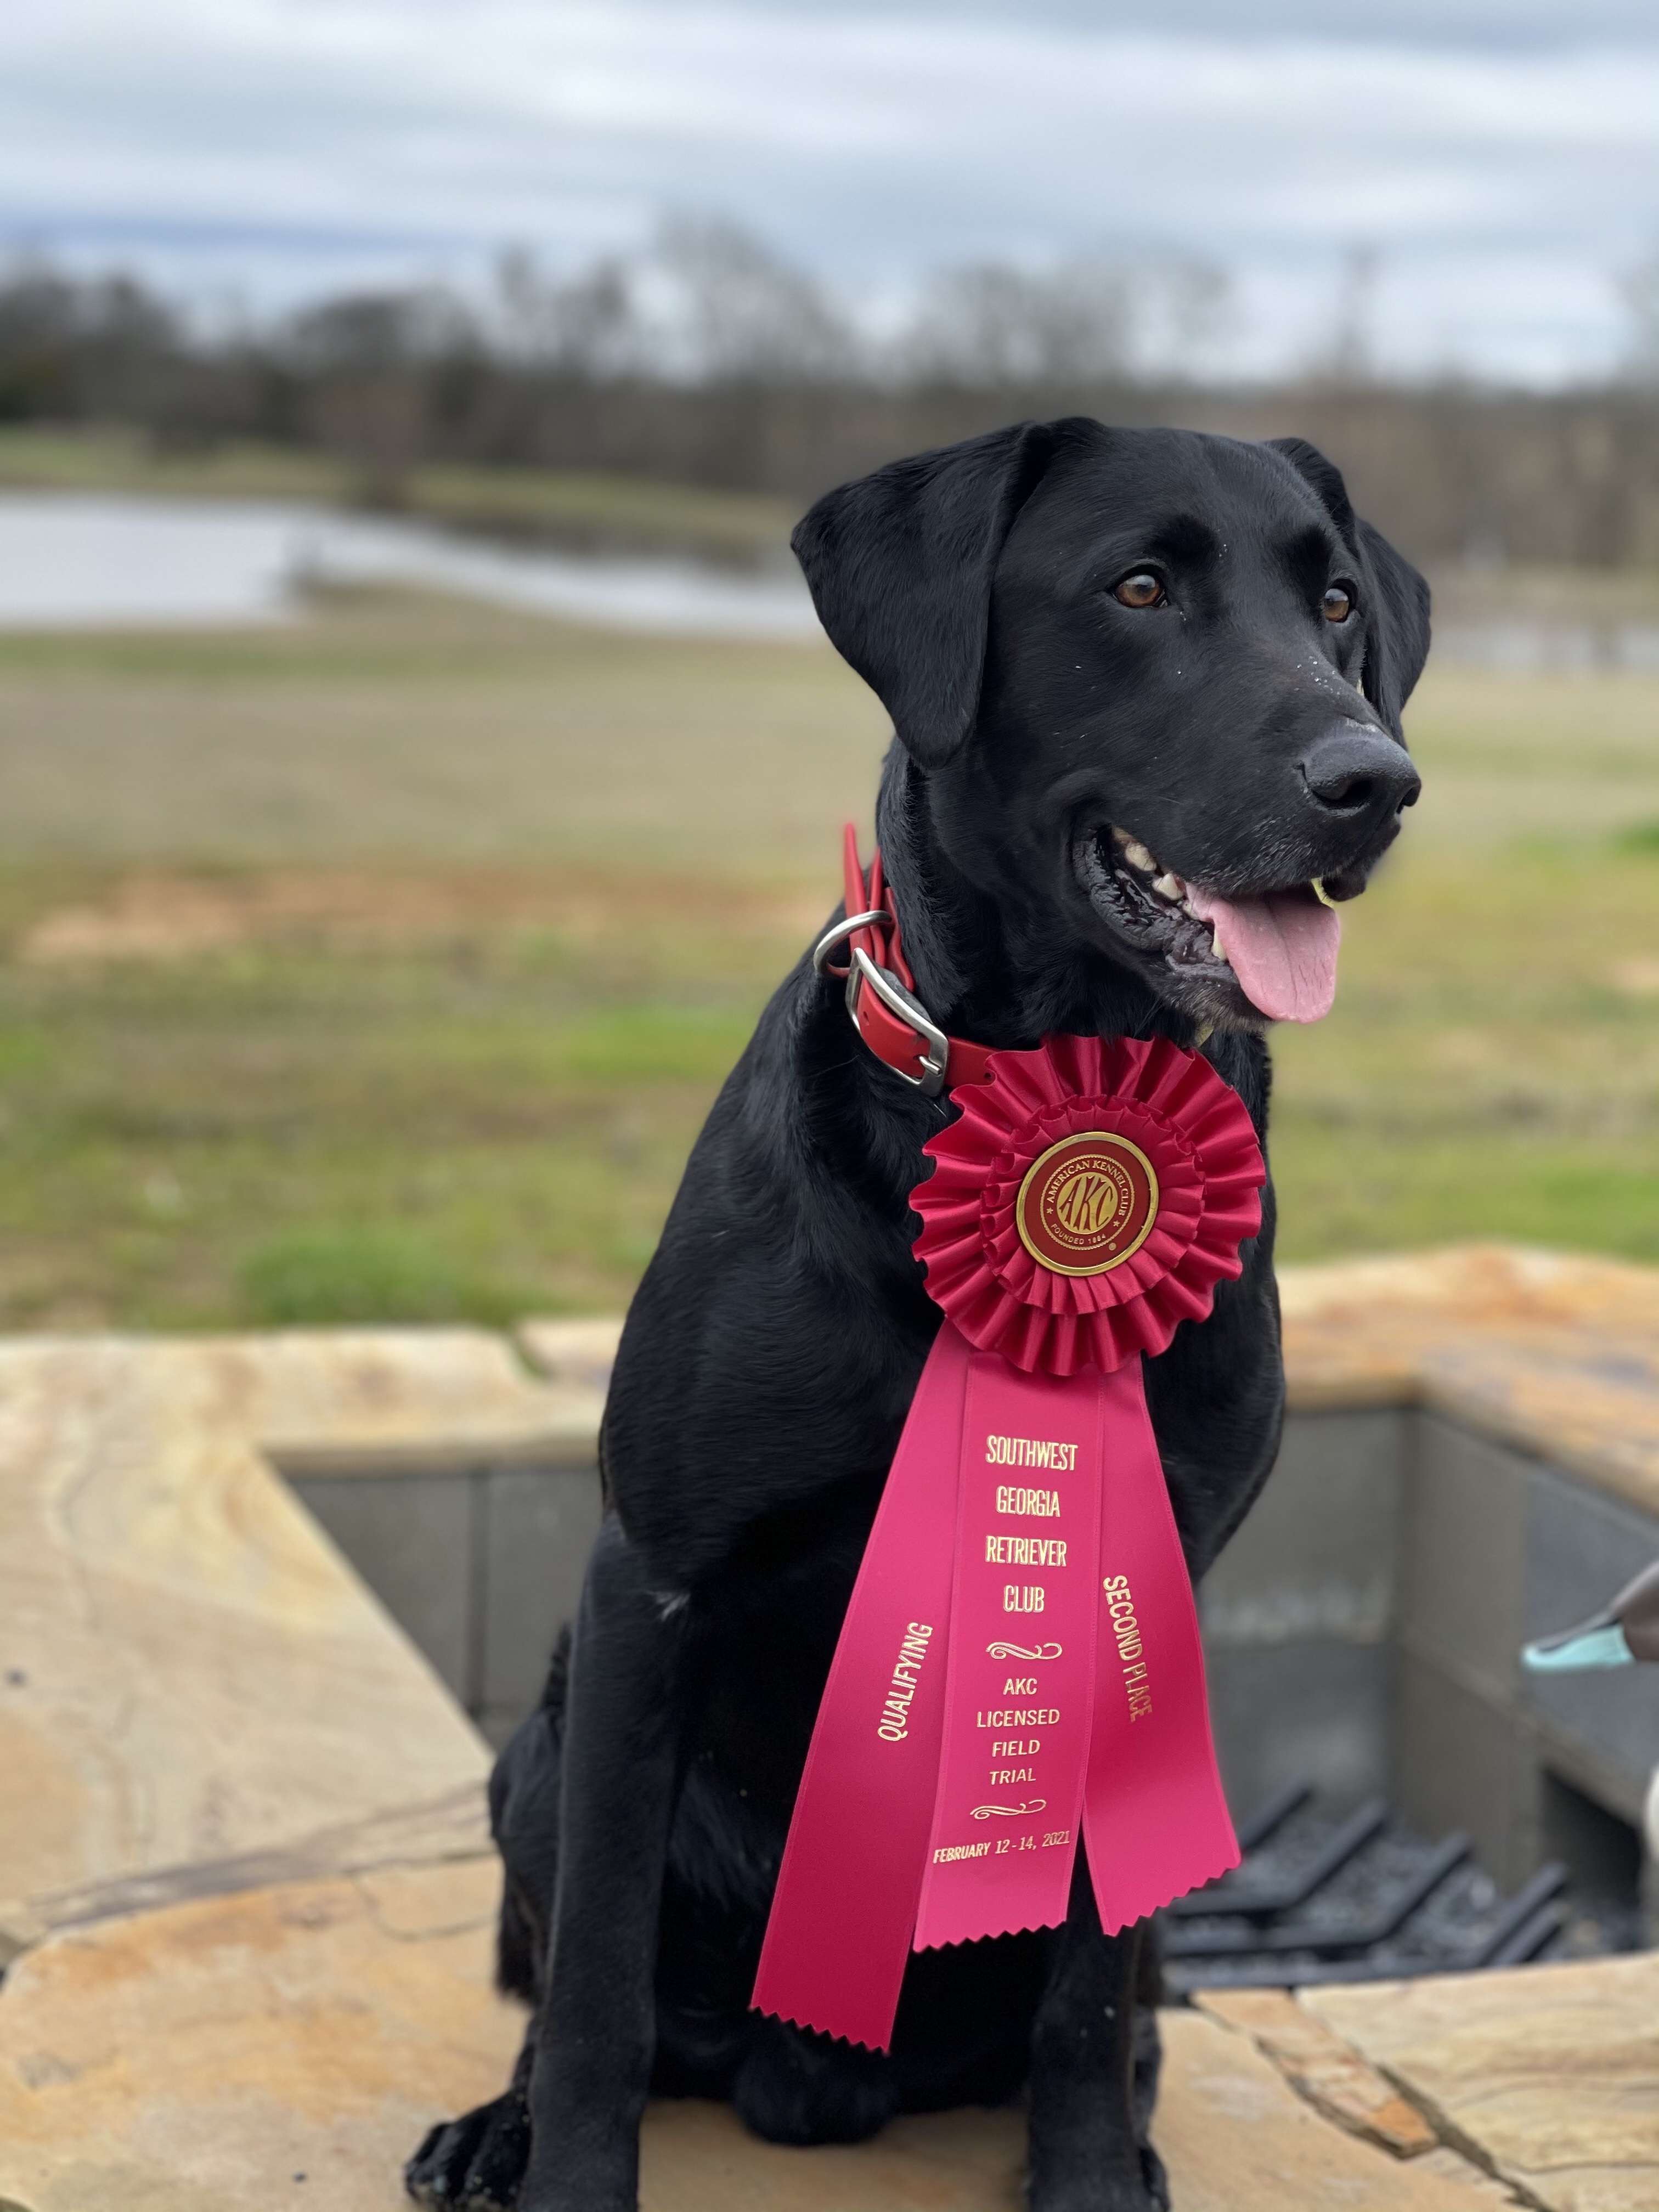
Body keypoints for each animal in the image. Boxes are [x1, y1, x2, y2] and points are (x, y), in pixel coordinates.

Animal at [407, 422, 1433, 2212]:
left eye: (1337, 603)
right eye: (1140, 586)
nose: (1374, 781)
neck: (1048, 1083)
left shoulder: (1142, 1610)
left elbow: (1089, 1994)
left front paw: (1088, 2181)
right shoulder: (650, 1586)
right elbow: (595, 1981)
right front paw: (567, 2170)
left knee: (1127, 2000)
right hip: (535, 1754)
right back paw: (500, 2131)